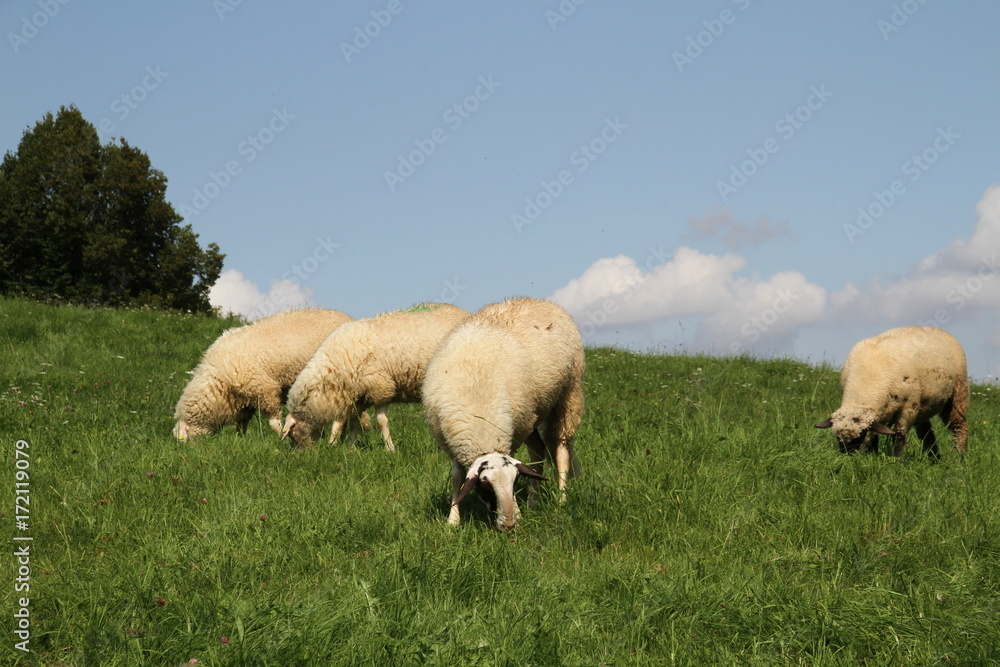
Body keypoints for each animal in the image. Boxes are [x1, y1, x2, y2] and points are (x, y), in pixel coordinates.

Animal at [172, 308, 353, 441]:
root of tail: (348, 318)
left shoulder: (265, 390)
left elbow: (273, 421)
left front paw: (280, 437)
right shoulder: (245, 400)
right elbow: (242, 423)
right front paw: (240, 440)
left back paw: (332, 440)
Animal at [282, 302, 470, 450]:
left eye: (292, 434)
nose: (302, 454)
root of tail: (464, 312)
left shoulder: (380, 388)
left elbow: (381, 421)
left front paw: (390, 448)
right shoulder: (359, 397)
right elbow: (355, 423)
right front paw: (351, 449)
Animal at [422, 296, 585, 531]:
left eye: (514, 482)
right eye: (485, 486)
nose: (508, 525)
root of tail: (539, 301)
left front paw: (518, 513)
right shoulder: (452, 444)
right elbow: (457, 478)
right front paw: (453, 521)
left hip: (568, 395)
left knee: (561, 449)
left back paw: (561, 499)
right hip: (529, 415)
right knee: (538, 450)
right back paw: (534, 502)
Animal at [815, 326, 968, 459]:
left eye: (861, 435)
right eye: (837, 437)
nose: (848, 458)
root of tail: (940, 330)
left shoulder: (908, 408)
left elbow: (899, 435)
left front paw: (896, 460)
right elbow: (875, 435)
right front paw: (872, 456)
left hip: (958, 394)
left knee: (959, 427)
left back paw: (960, 459)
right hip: (923, 406)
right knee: (926, 433)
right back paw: (934, 459)